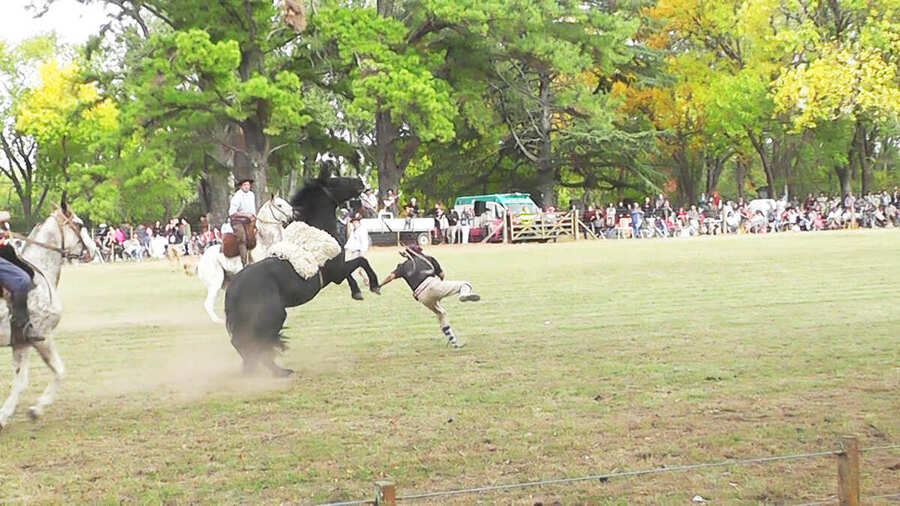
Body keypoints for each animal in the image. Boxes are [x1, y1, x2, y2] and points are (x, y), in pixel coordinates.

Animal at [227, 167, 382, 376]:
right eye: (335, 181)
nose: (360, 182)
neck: (318, 228)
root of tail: (233, 289)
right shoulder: (337, 271)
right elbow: (361, 261)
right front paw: (373, 285)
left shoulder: (338, 271)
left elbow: (353, 269)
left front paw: (357, 291)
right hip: (274, 315)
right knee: (255, 342)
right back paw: (277, 371)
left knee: (246, 343)